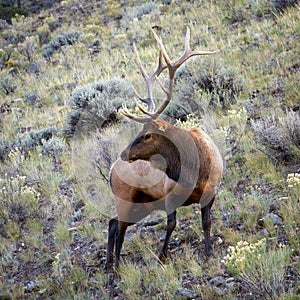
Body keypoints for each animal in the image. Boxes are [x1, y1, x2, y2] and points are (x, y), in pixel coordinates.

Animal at [105, 27, 223, 270]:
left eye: (147, 134)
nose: (124, 153)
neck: (196, 170)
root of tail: (110, 170)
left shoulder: (211, 192)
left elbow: (206, 222)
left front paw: (208, 253)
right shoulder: (169, 196)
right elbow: (171, 225)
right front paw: (162, 256)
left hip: (142, 205)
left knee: (113, 223)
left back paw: (109, 263)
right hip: (126, 198)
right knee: (118, 227)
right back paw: (117, 266)